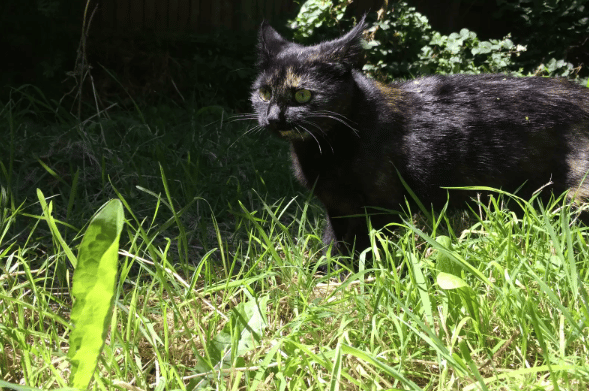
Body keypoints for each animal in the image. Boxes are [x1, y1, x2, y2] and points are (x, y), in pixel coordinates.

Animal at [250, 17, 588, 258]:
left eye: (302, 95)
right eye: (264, 93)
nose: (274, 117)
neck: (323, 152)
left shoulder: (380, 206)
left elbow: (369, 249)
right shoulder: (337, 207)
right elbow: (333, 245)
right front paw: (328, 277)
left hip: (576, 196)